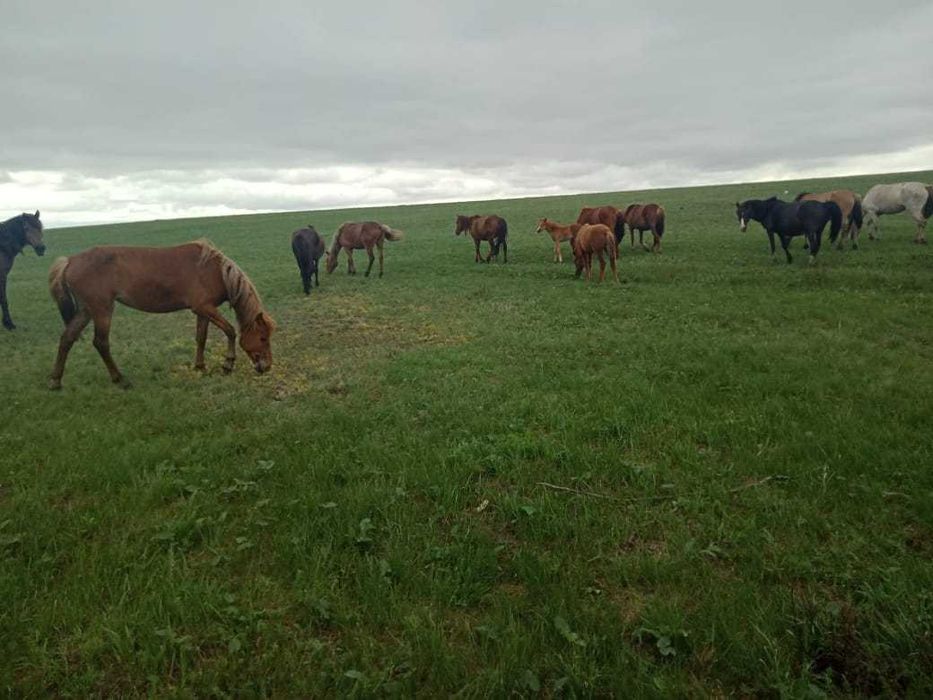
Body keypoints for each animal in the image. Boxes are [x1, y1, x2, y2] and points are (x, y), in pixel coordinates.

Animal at [47, 240, 275, 390]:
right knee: (101, 342)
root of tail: (70, 261)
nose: (267, 367)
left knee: (67, 338)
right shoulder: (204, 308)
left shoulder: (203, 311)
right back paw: (119, 379)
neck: (214, 271)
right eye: (263, 338)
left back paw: (56, 381)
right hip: (102, 309)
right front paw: (227, 364)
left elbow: (201, 338)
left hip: (86, 310)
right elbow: (230, 331)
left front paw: (200, 367)